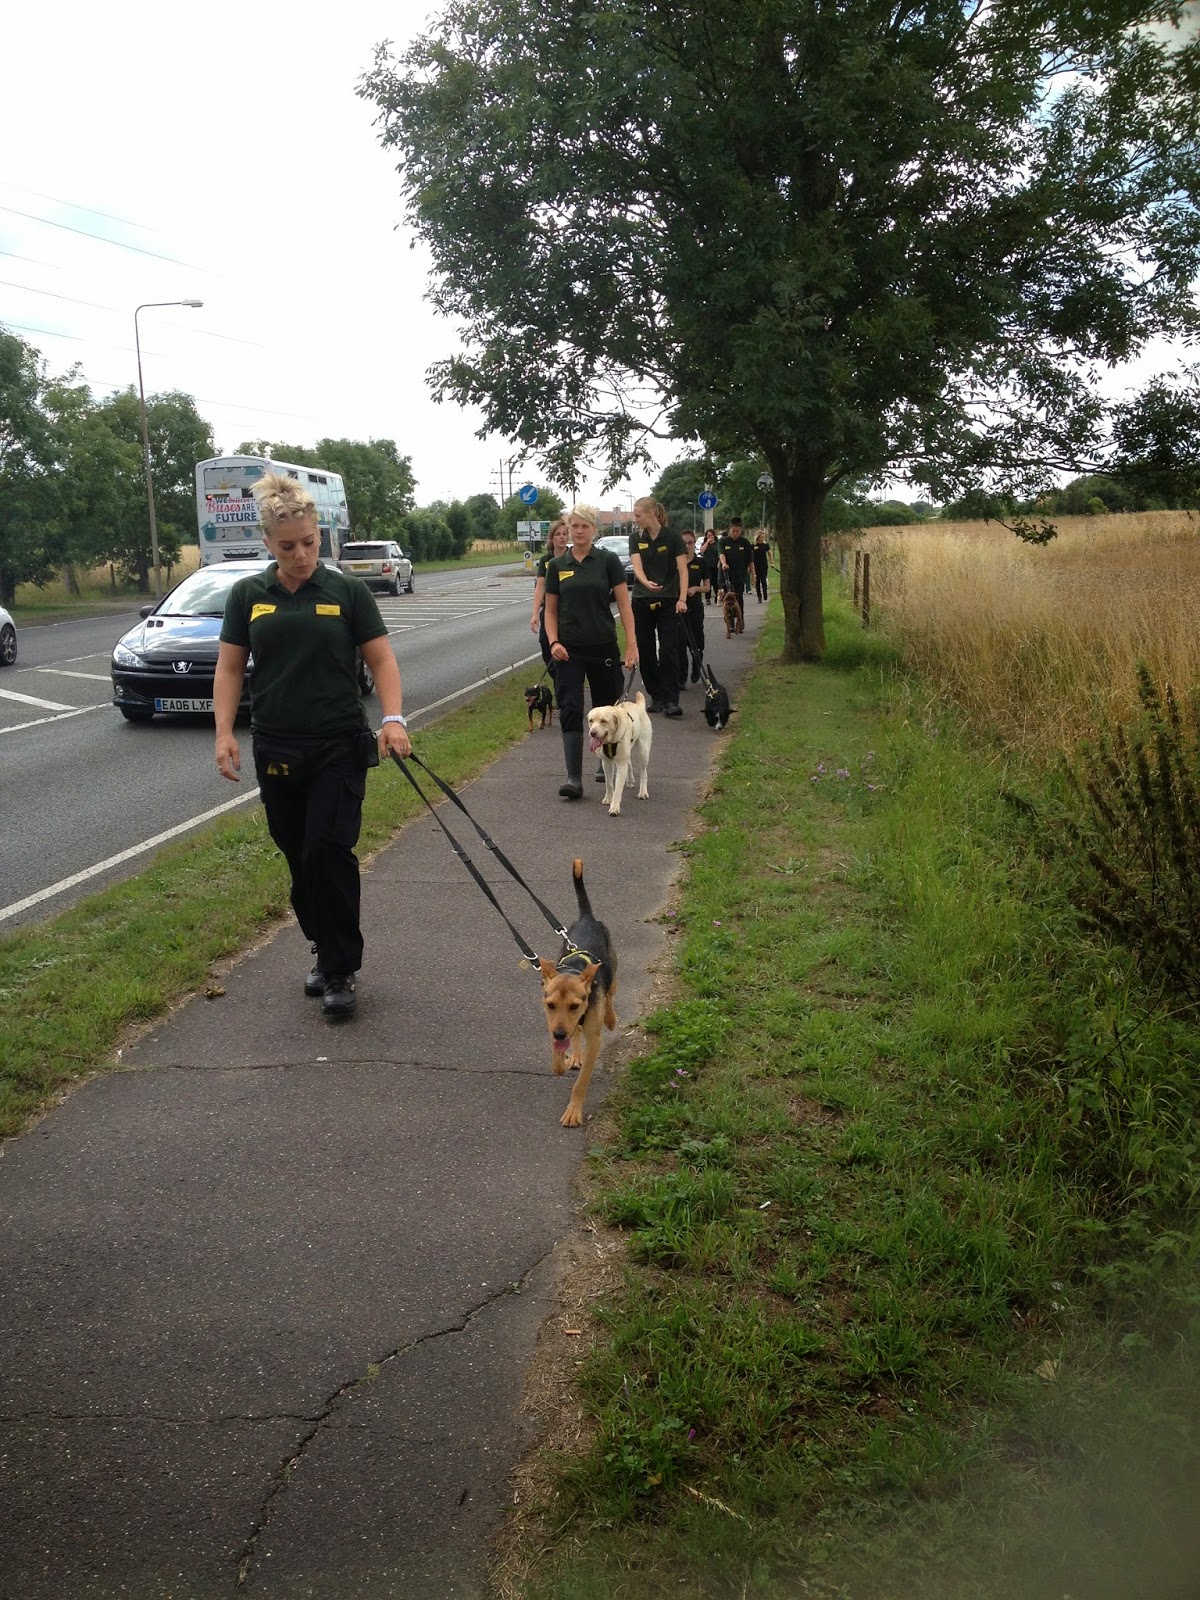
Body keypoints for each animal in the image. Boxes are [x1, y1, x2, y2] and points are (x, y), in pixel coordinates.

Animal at [539, 858, 617, 1128]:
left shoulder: (594, 1039)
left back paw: (610, 1018)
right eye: (550, 1005)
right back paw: (573, 1054)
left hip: (612, 969)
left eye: (574, 1005)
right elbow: (557, 1061)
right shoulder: (554, 1024)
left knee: (610, 994)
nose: (560, 1034)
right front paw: (563, 1061)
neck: (574, 969)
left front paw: (573, 1111)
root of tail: (587, 918)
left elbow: (581, 1083)